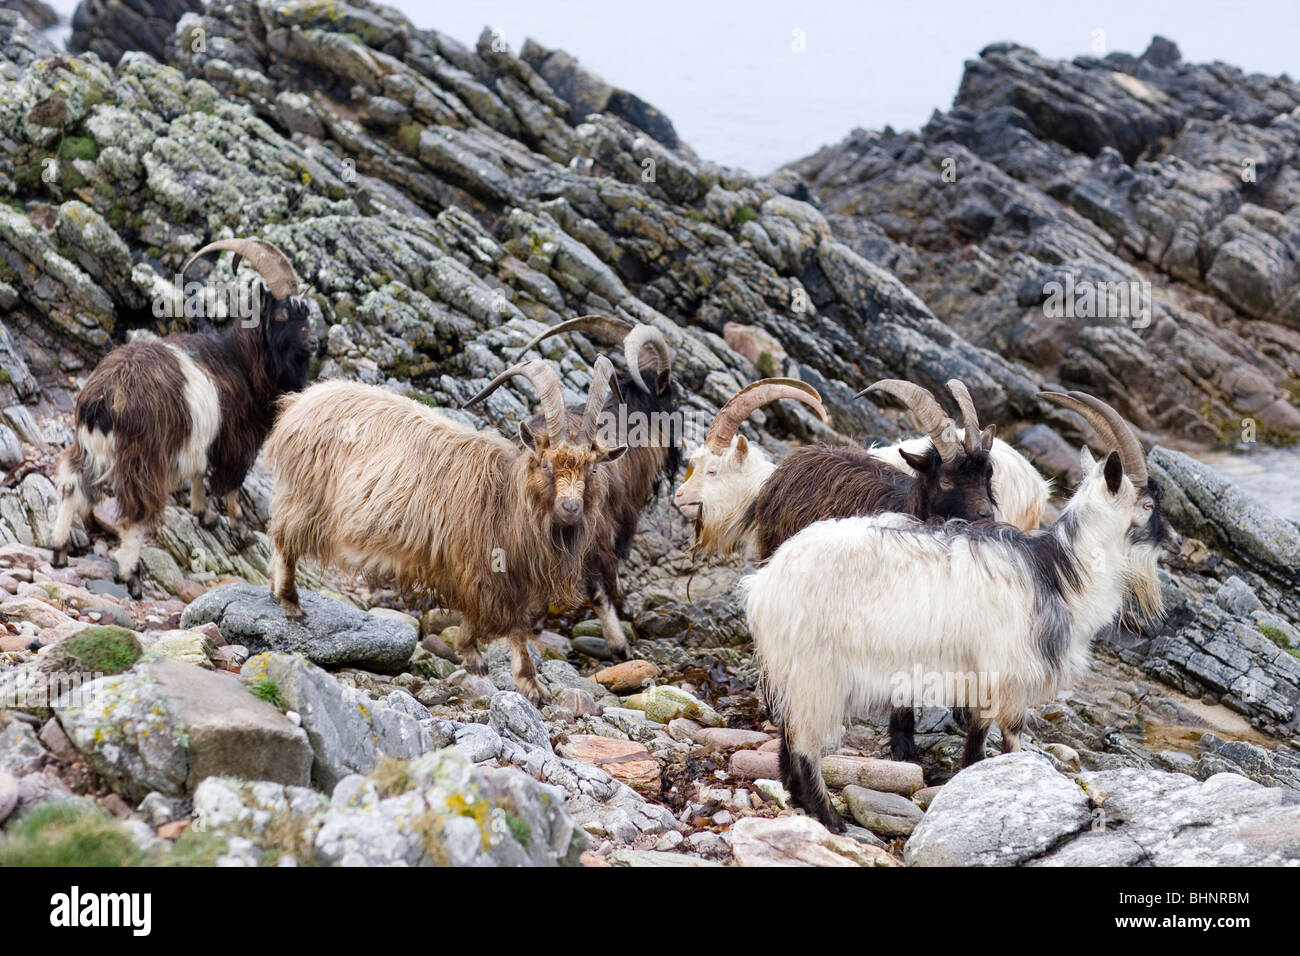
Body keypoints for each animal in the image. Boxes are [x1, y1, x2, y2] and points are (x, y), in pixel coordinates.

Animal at [51, 239, 317, 598]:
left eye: (306, 312)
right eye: (281, 314)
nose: (313, 341)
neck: (240, 362)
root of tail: (103, 397)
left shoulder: (202, 437)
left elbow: (198, 470)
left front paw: (203, 513)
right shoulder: (237, 439)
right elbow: (231, 483)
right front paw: (240, 528)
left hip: (90, 448)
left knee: (70, 483)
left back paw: (59, 551)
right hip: (144, 457)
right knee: (135, 513)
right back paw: (132, 578)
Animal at [263, 356, 624, 702]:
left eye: (592, 470)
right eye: (547, 465)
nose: (571, 508)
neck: (506, 496)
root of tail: (299, 402)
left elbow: (474, 617)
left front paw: (471, 654)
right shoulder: (491, 570)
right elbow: (515, 626)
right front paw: (530, 685)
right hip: (305, 496)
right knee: (283, 541)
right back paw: (291, 603)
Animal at [514, 314, 686, 658]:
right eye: (674, 398)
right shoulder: (628, 507)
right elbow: (618, 556)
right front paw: (624, 602)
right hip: (591, 527)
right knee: (595, 584)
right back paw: (619, 646)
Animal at [743, 390, 1180, 832]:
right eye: (1147, 504)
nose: (1177, 542)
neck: (1058, 572)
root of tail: (765, 585)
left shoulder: (983, 671)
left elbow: (985, 731)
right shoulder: (1006, 668)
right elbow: (1002, 735)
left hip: (795, 667)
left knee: (789, 729)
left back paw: (797, 795)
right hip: (817, 669)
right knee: (804, 739)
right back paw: (829, 816)